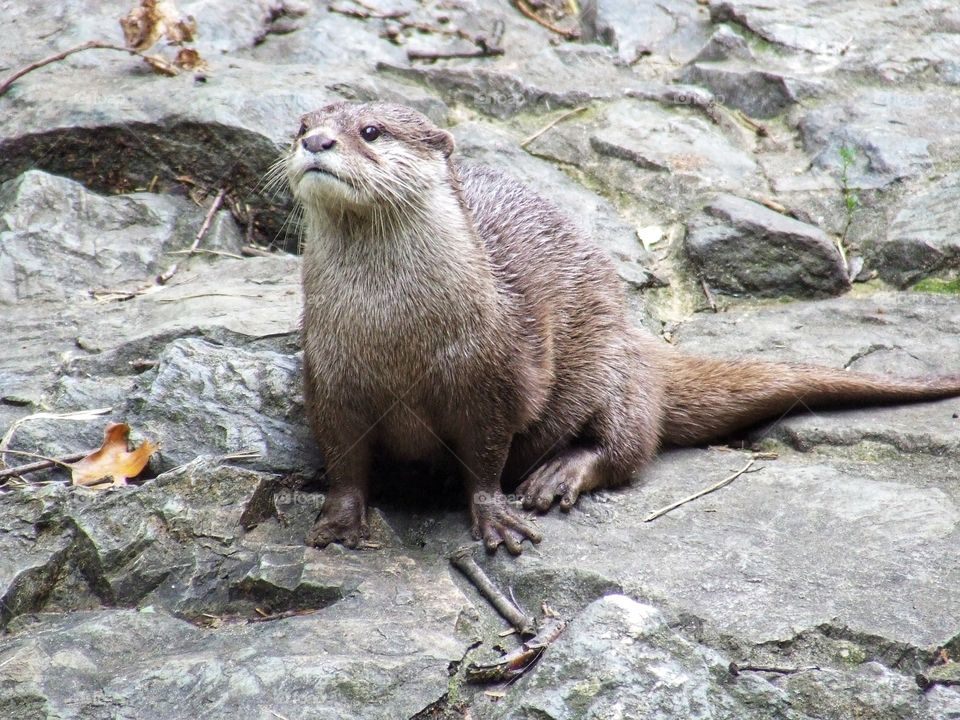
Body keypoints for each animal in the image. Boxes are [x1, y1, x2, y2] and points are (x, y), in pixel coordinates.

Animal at [284, 101, 960, 555]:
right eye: (301, 124)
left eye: (371, 131)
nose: (316, 139)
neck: (395, 339)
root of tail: (641, 338)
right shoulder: (329, 376)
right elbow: (343, 455)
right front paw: (339, 521)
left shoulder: (492, 377)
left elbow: (485, 455)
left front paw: (495, 517)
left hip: (614, 365)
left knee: (629, 445)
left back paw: (559, 475)